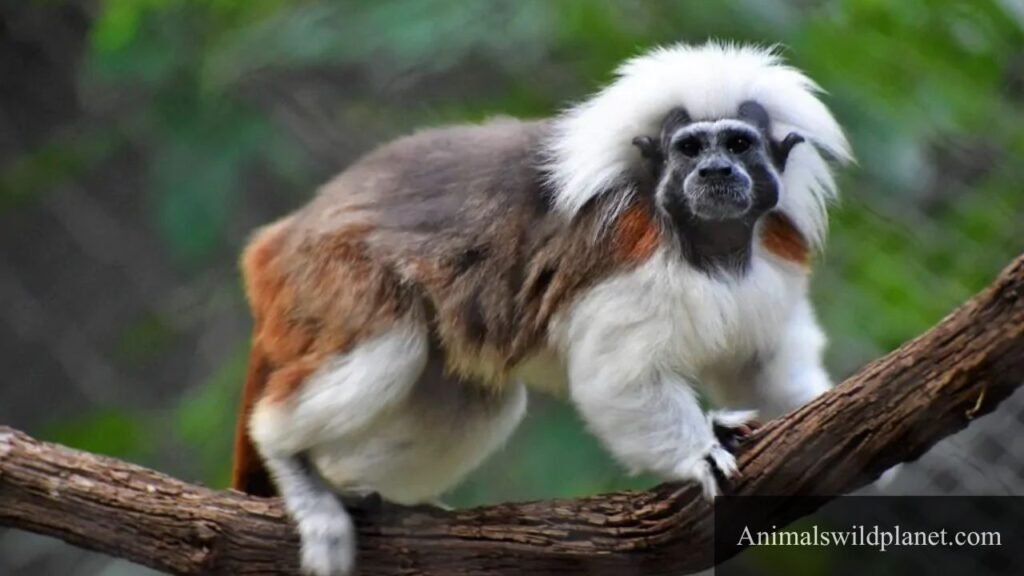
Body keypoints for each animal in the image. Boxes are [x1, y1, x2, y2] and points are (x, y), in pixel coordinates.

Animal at [230, 42, 852, 575]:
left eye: (740, 145)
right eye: (691, 149)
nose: (716, 172)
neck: (709, 247)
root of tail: (283, 236)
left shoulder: (772, 259)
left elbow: (762, 367)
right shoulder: (626, 259)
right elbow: (618, 380)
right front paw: (696, 453)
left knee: (472, 405)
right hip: (334, 276)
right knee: (386, 349)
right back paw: (290, 461)